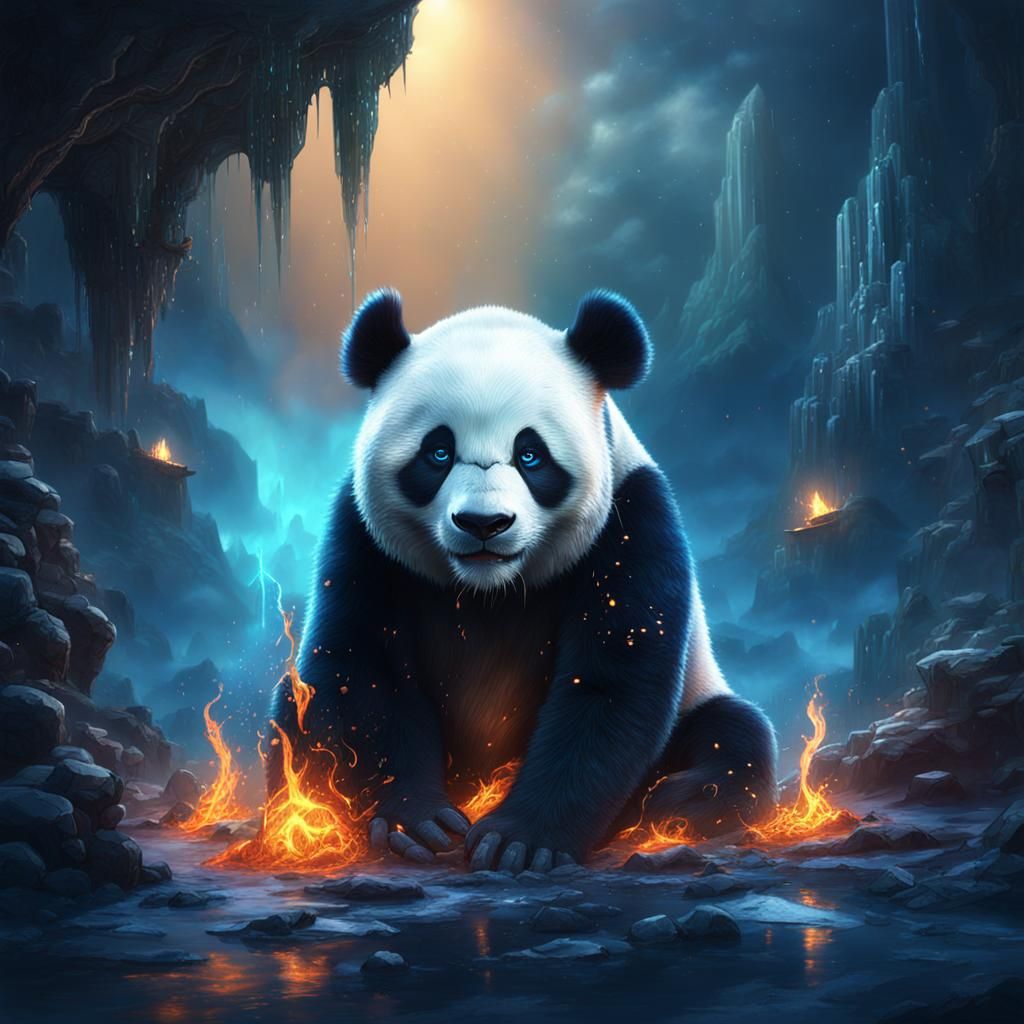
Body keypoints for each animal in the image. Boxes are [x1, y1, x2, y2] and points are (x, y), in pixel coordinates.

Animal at [268, 288, 777, 872]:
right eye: (438, 452)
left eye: (531, 454)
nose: (483, 523)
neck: (490, 588)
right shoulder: (363, 538)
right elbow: (363, 671)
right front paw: (419, 822)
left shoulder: (632, 520)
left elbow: (610, 682)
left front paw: (519, 841)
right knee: (293, 711)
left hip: (700, 697)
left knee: (734, 739)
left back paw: (676, 802)